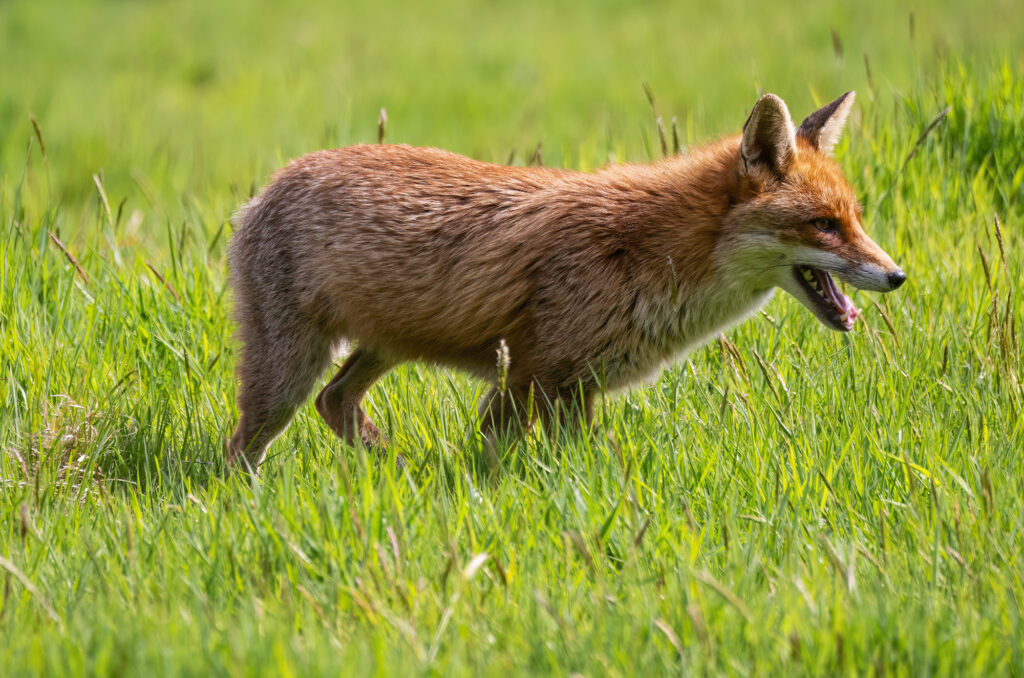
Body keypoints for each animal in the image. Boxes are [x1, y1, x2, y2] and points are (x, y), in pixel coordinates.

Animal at [226, 91, 906, 471]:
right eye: (823, 225)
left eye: (855, 218)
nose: (897, 276)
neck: (657, 251)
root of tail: (268, 188)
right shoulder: (529, 380)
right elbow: (493, 462)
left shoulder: (579, 391)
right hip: (286, 375)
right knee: (244, 446)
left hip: (383, 349)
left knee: (335, 403)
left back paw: (396, 464)